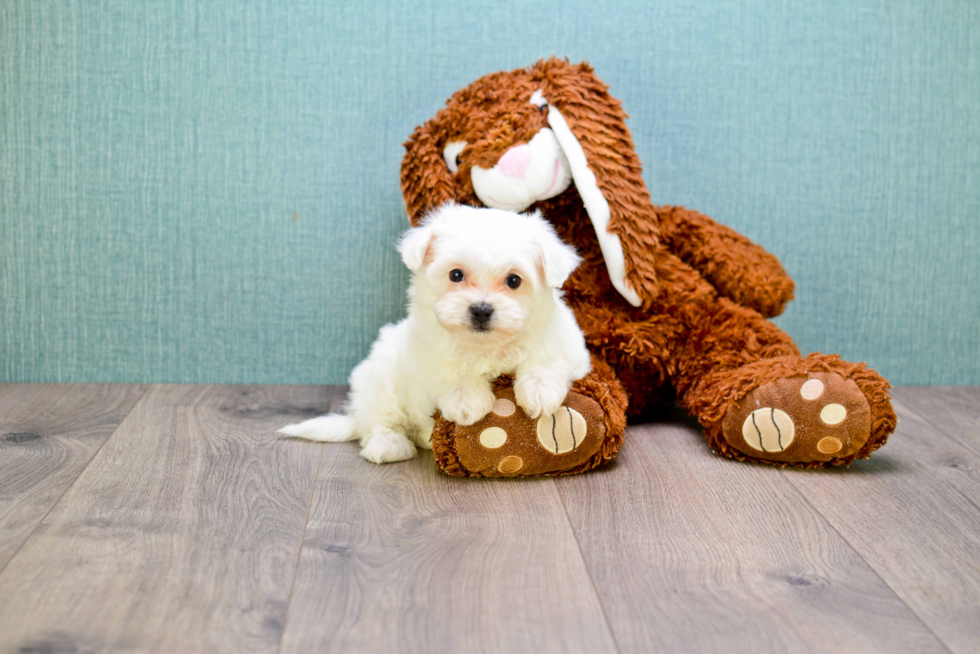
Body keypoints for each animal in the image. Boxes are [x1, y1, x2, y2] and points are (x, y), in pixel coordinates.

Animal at [280, 202, 592, 464]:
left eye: (514, 280)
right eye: (456, 275)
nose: (481, 310)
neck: (485, 346)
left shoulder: (568, 345)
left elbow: (547, 357)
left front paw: (540, 390)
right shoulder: (425, 351)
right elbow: (450, 369)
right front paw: (467, 399)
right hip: (379, 379)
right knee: (380, 420)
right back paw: (389, 444)